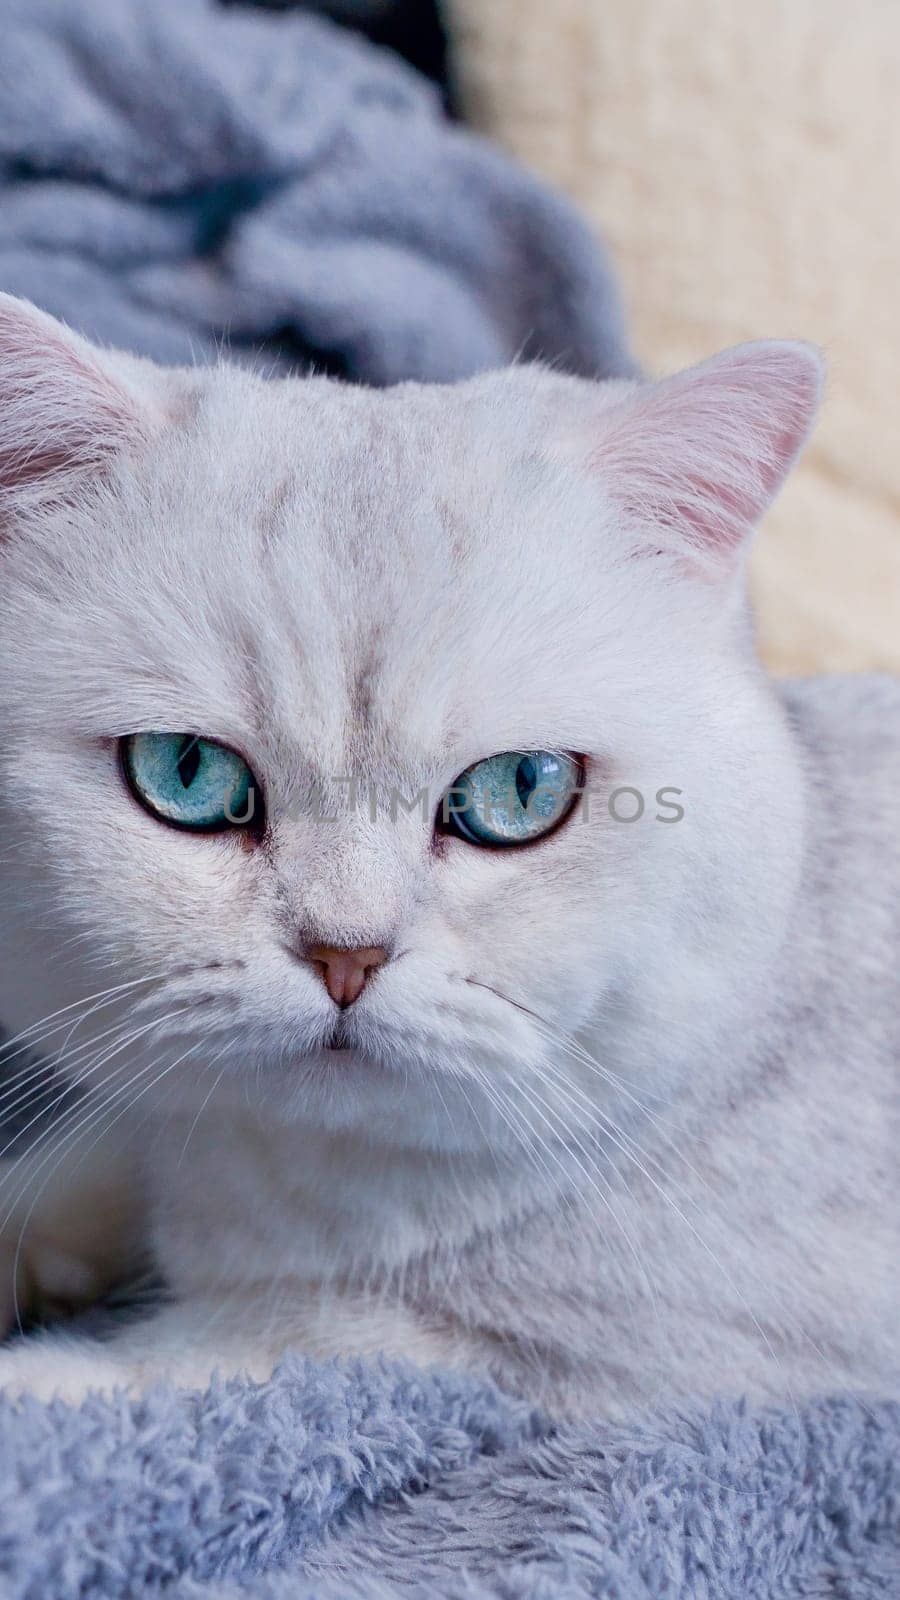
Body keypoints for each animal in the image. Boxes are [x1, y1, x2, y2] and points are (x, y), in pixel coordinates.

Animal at [0, 294, 890, 1420]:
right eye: (189, 773)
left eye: (520, 791)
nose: (347, 954)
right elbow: (86, 1165)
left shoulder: (575, 1367)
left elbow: (208, 1357)